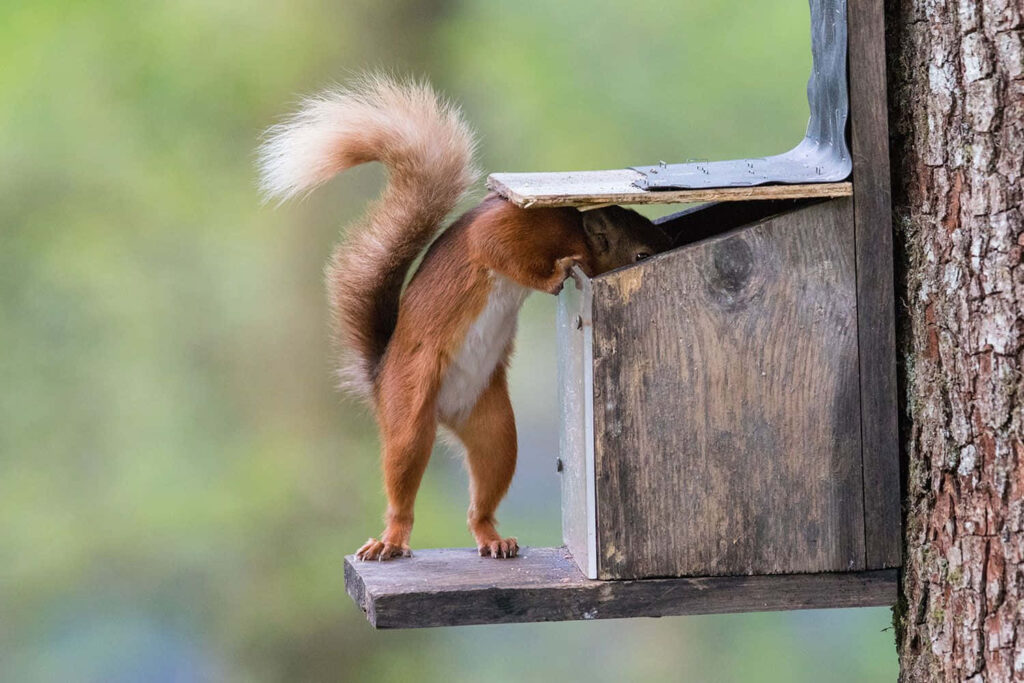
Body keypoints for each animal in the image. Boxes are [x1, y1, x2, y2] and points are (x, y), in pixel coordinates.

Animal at [258, 74, 669, 561]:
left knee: (483, 494)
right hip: (409, 410)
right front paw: (558, 274)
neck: (579, 234)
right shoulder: (517, 230)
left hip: (494, 430)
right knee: (402, 480)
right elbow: (499, 250)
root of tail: (381, 377)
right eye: (641, 254)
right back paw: (390, 540)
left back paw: (494, 539)